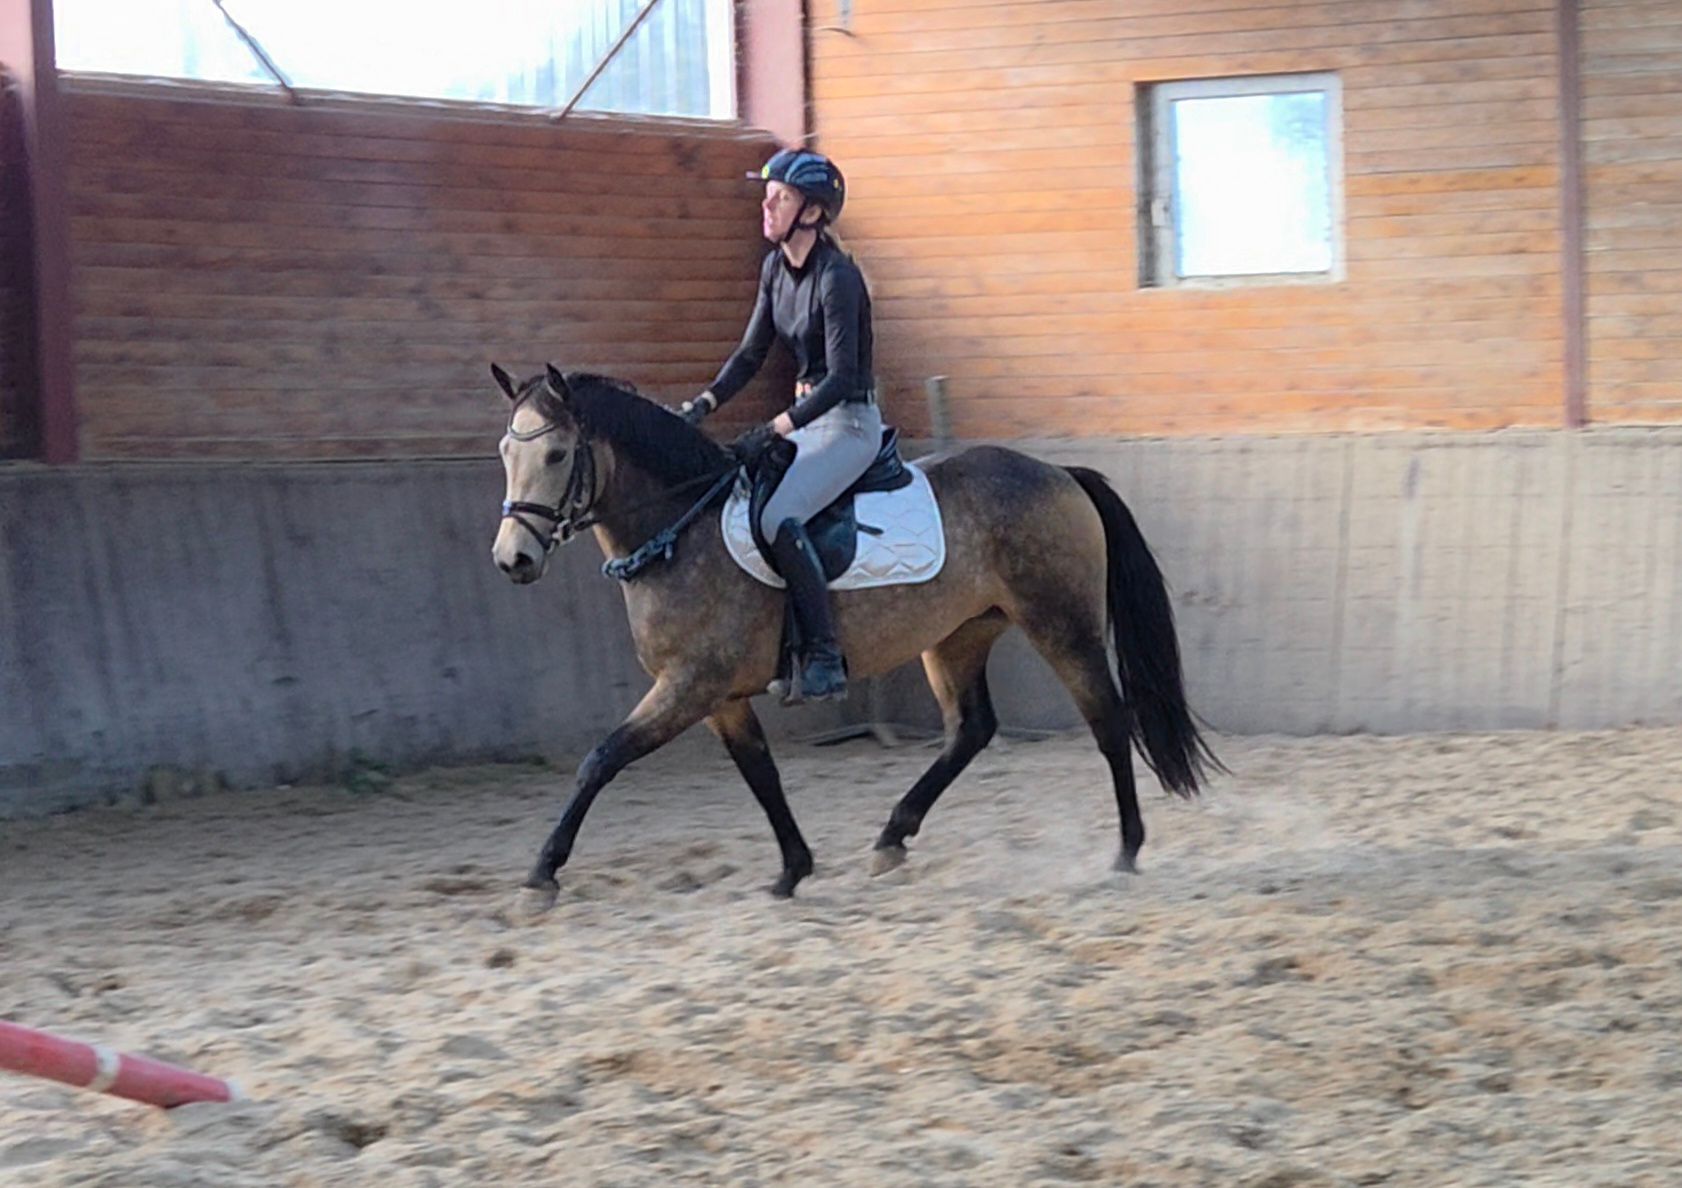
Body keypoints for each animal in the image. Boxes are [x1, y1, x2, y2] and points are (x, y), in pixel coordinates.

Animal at [491, 364, 1219, 911]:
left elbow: (602, 758)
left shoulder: (689, 686)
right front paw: (793, 869)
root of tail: (1062, 473)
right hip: (956, 635)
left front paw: (540, 876)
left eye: (556, 453)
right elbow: (761, 774)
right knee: (971, 729)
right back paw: (892, 838)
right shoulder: (720, 697)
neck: (679, 527)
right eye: (504, 452)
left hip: (1060, 624)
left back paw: (1126, 850)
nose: (512, 560)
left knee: (1107, 719)